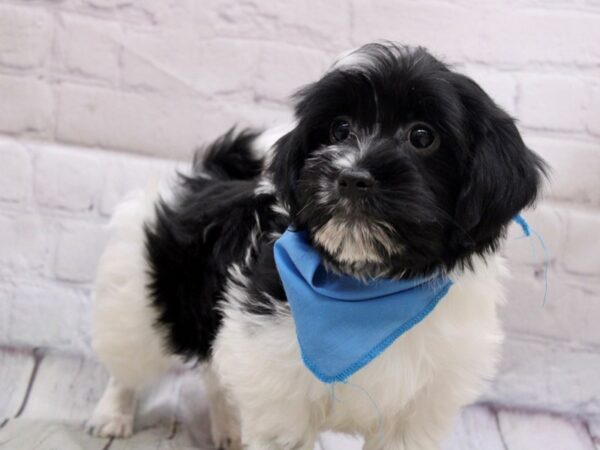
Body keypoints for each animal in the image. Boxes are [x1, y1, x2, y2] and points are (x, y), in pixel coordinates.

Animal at [88, 43, 544, 450]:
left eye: (422, 136)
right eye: (339, 129)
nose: (352, 177)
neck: (371, 283)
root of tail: (207, 176)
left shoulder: (418, 406)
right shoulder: (274, 379)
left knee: (216, 374)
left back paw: (227, 427)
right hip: (144, 292)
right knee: (131, 356)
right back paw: (113, 414)